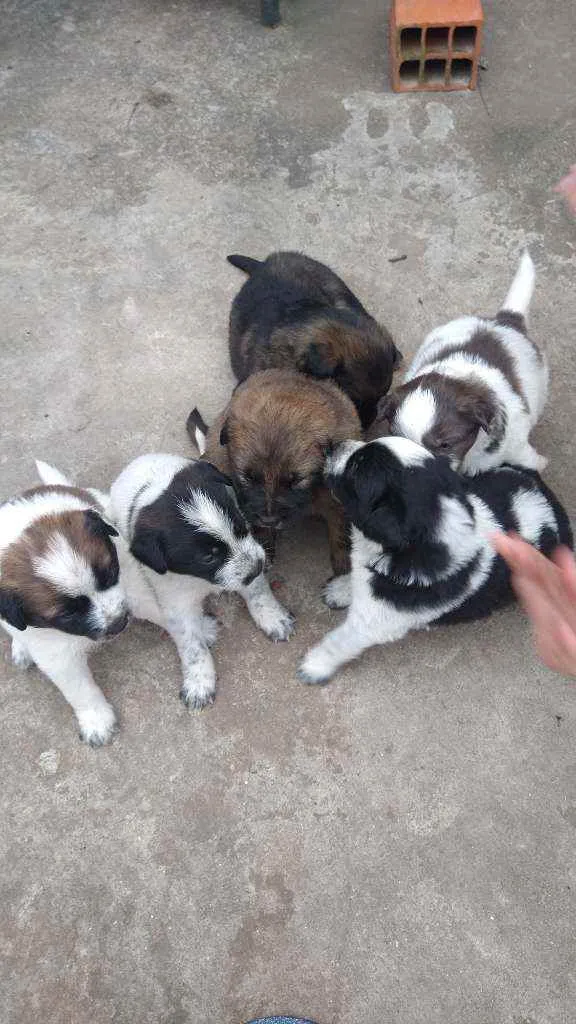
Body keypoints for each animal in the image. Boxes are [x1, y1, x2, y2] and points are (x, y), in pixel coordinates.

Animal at [0, 462, 129, 745]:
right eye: (67, 615)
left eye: (111, 574)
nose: (119, 624)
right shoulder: (54, 653)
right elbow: (79, 689)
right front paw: (96, 719)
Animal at [108, 452, 293, 708]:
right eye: (208, 557)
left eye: (241, 526)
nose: (258, 568)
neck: (201, 580)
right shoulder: (177, 605)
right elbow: (192, 647)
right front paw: (199, 682)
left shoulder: (250, 557)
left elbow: (259, 592)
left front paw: (273, 617)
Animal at [187, 368, 358, 577]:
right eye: (248, 477)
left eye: (295, 480)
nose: (269, 519)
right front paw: (266, 548)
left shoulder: (337, 500)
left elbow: (341, 530)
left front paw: (345, 567)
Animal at [295, 434, 569, 684]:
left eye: (356, 468)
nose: (332, 444)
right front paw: (341, 589)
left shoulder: (375, 622)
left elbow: (341, 641)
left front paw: (315, 665)